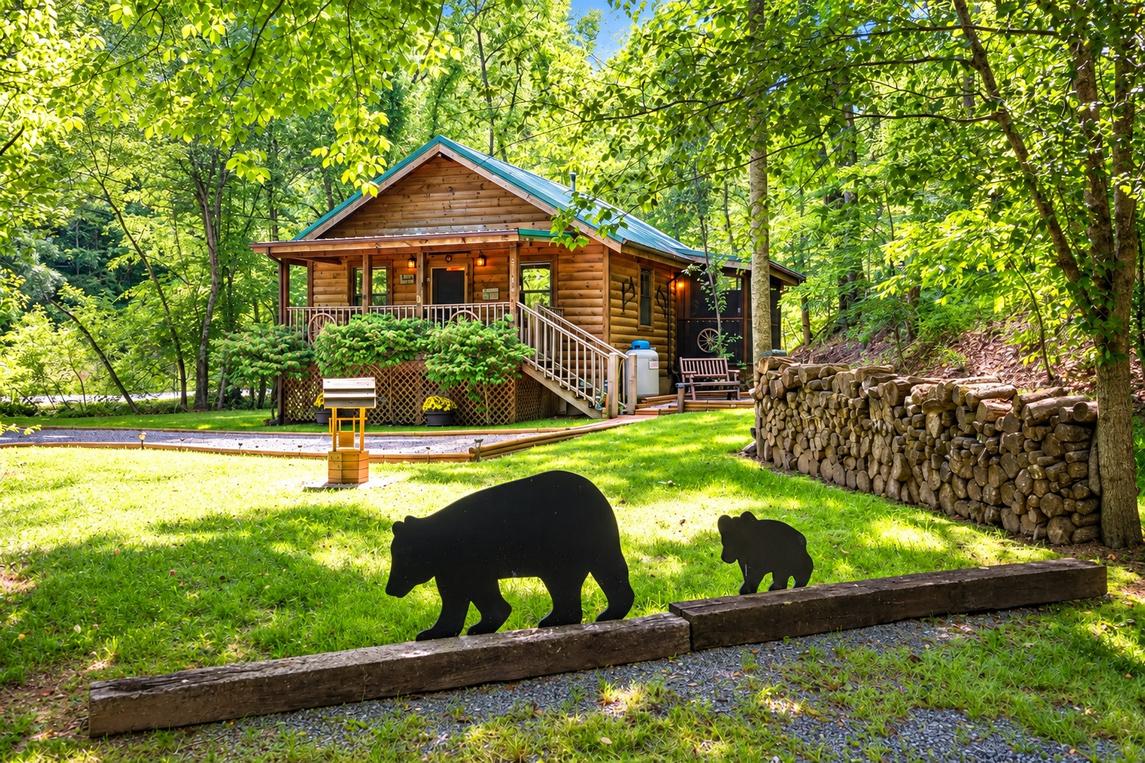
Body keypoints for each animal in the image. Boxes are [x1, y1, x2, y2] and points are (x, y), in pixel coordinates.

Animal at [385, 470, 635, 640]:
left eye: (400, 557)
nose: (390, 589)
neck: (440, 545)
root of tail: (603, 503)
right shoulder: (458, 567)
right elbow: (465, 596)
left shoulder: (466, 561)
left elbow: (468, 595)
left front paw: (445, 631)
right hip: (588, 547)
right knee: (601, 576)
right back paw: (601, 614)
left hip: (564, 548)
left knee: (566, 583)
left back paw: (560, 619)